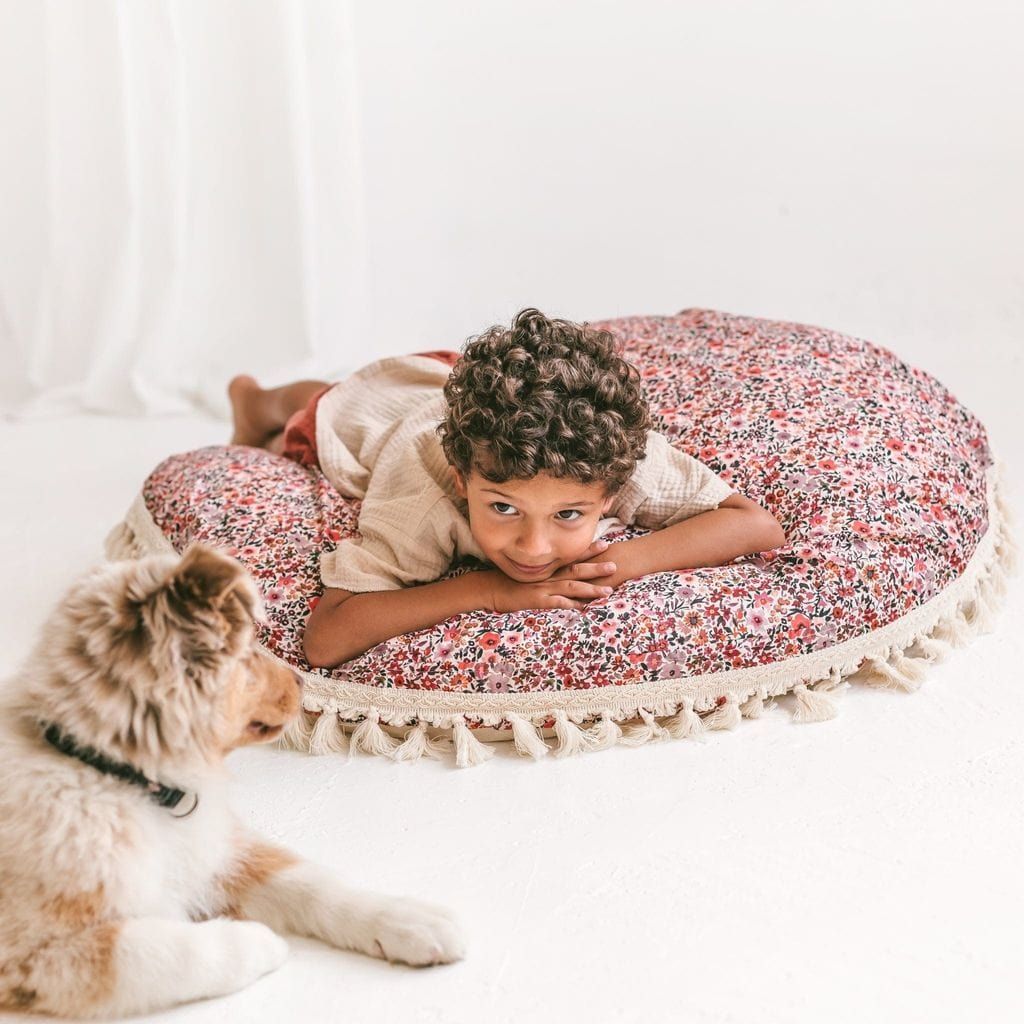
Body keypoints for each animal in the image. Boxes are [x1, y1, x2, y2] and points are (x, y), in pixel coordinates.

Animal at [0, 544, 464, 1015]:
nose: (302, 681)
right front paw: (259, 940)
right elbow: (157, 952)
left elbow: (313, 883)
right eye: (246, 655)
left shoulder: (221, 849)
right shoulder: (35, 952)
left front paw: (411, 921)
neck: (129, 780)